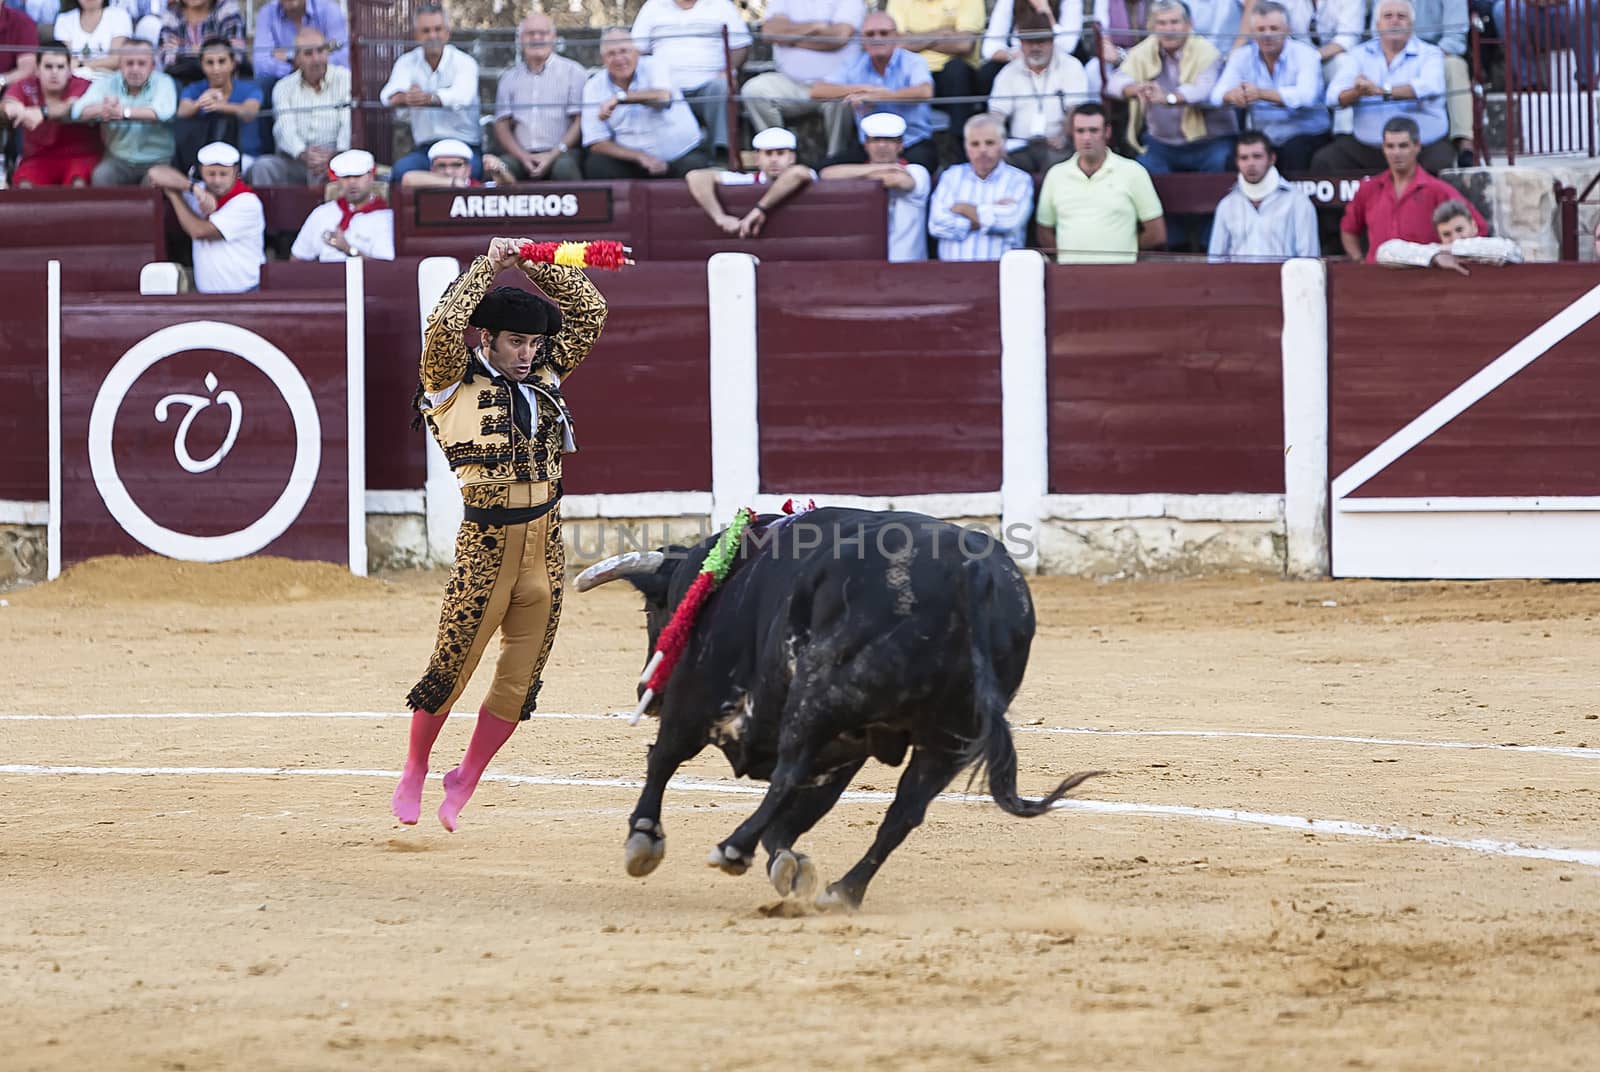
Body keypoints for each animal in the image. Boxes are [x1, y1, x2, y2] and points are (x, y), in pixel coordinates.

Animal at [579, 508, 1100, 908]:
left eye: (655, 610)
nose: (645, 689)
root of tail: (971, 573)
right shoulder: (845, 749)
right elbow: (800, 813)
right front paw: (790, 867)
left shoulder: (700, 694)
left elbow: (664, 757)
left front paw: (644, 838)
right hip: (948, 740)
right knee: (904, 811)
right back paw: (843, 890)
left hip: (818, 696)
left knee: (788, 774)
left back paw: (734, 848)